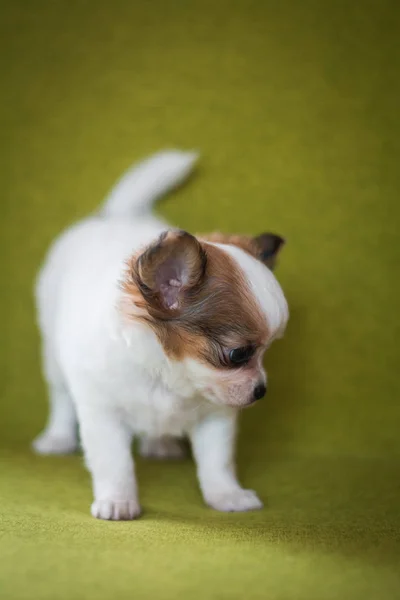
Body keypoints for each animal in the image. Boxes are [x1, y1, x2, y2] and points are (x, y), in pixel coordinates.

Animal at [32, 151, 288, 520]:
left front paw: (227, 495)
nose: (261, 390)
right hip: (53, 353)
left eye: (268, 350)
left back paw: (160, 443)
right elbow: (114, 463)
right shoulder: (102, 412)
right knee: (60, 396)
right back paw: (57, 438)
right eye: (238, 354)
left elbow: (218, 462)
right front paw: (118, 501)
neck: (168, 378)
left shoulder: (216, 416)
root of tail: (120, 215)